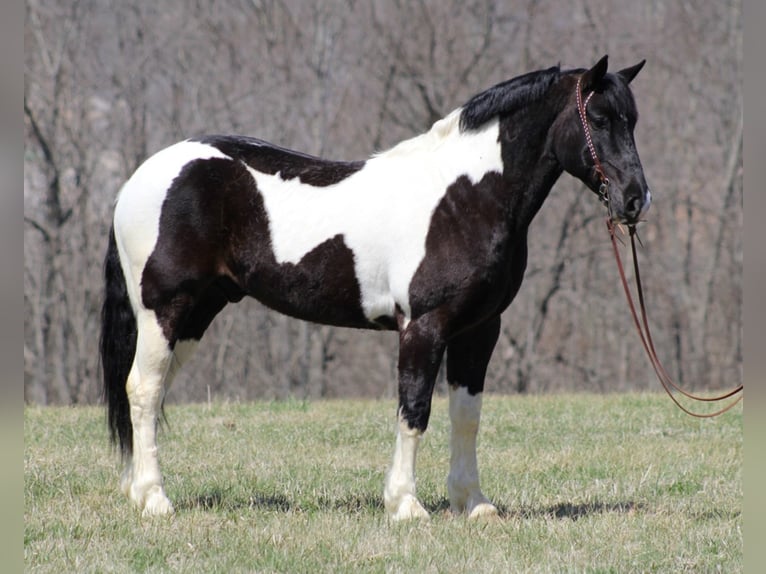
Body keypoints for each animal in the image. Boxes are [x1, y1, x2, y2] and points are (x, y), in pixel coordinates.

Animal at [100, 57, 656, 520]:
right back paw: (154, 499)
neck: (463, 198)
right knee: (143, 389)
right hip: (165, 309)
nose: (635, 199)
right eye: (599, 119)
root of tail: (136, 181)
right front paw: (406, 505)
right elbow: (414, 412)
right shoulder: (424, 327)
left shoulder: (479, 330)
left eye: (631, 120)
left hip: (196, 315)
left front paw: (473, 504)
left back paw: (136, 490)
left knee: (151, 391)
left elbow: (466, 416)